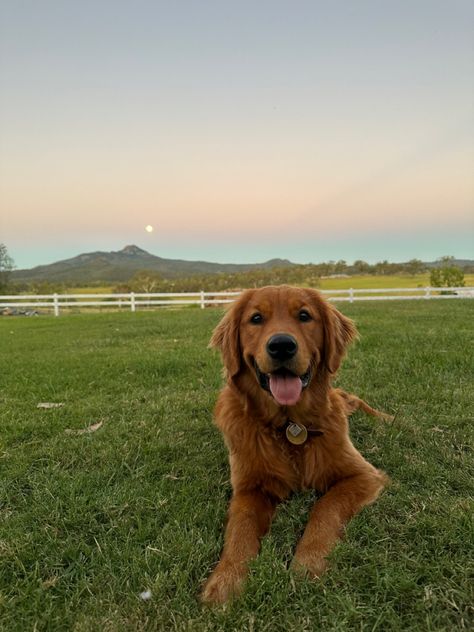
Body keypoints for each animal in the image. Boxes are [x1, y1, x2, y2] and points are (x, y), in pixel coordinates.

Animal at [200, 286, 388, 604]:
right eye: (256, 318)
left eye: (304, 315)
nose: (281, 346)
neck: (289, 425)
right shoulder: (248, 488)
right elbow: (240, 528)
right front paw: (226, 578)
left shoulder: (363, 475)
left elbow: (326, 507)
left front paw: (308, 561)